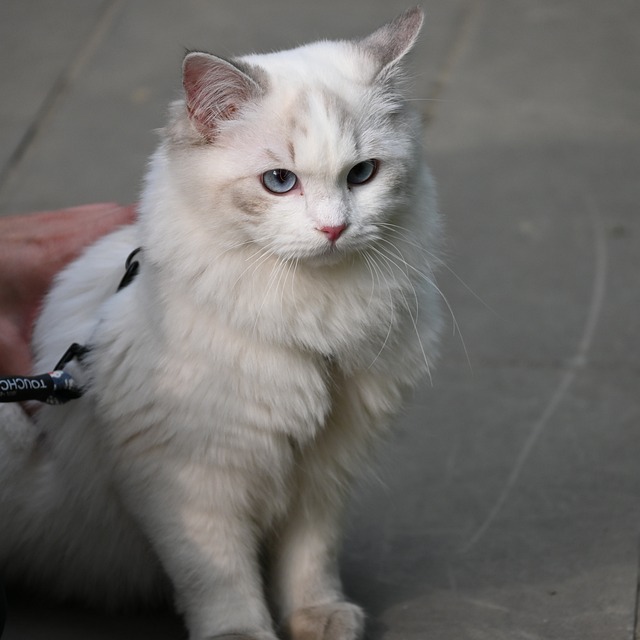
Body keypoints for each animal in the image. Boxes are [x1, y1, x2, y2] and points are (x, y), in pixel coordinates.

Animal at [0, 8, 442, 640]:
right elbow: (218, 575)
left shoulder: (325, 468)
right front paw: (241, 634)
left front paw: (318, 615)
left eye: (362, 175)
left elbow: (310, 558)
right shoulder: (189, 476)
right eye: (279, 181)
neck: (311, 326)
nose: (333, 229)